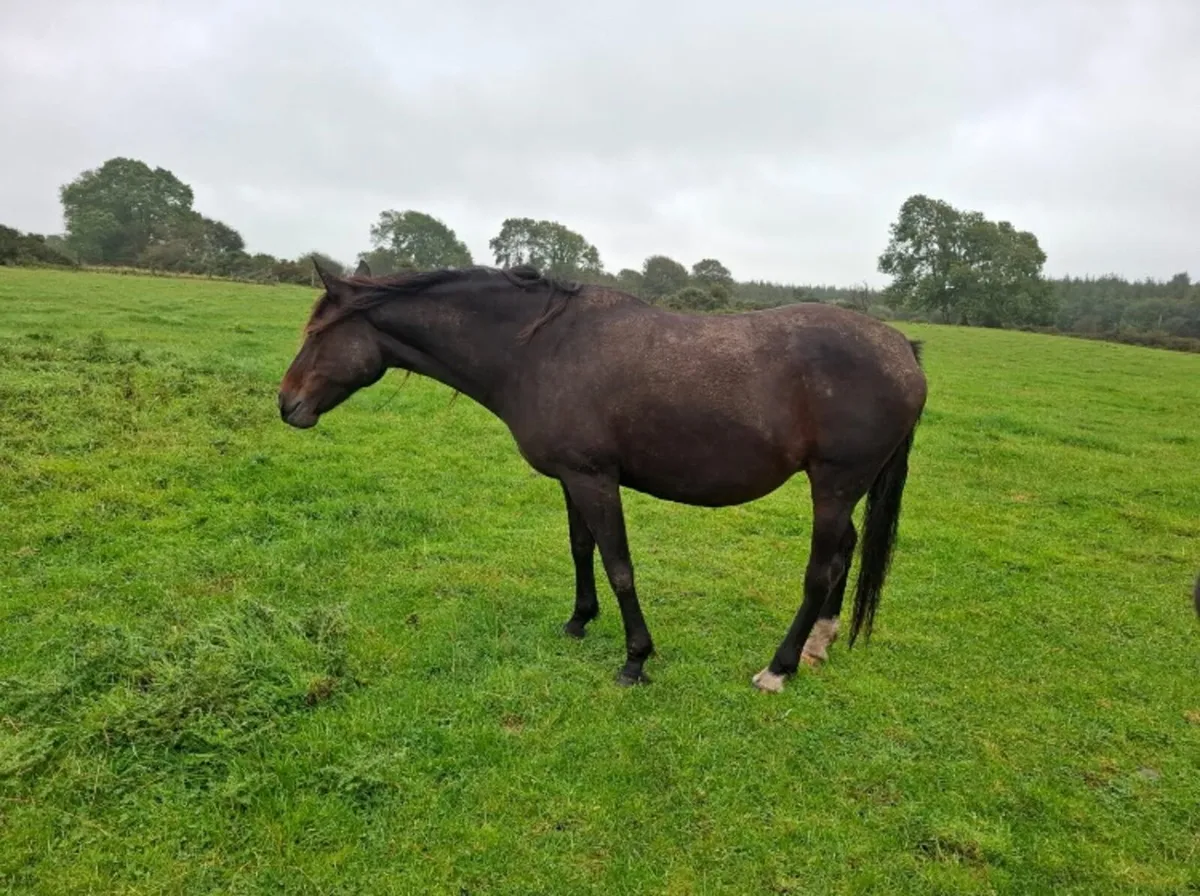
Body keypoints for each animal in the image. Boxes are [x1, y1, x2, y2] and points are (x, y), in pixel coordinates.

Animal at [278, 259, 927, 691]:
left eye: (317, 334)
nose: (287, 404)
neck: (538, 349)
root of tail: (903, 349)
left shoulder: (595, 478)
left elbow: (619, 566)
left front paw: (636, 658)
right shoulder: (572, 477)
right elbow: (580, 548)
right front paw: (577, 621)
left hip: (835, 484)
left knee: (822, 569)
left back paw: (779, 666)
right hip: (842, 490)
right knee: (844, 553)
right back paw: (818, 645)